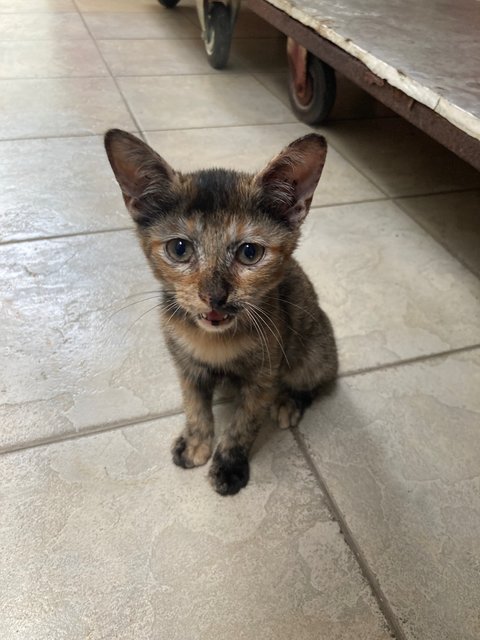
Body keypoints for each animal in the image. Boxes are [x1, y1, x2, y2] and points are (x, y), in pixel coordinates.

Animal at [105, 130, 338, 498]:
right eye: (179, 248)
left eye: (250, 253)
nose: (213, 296)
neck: (213, 340)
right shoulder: (184, 363)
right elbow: (195, 406)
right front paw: (197, 442)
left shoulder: (264, 375)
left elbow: (244, 423)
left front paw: (229, 463)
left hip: (313, 347)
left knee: (315, 378)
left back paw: (289, 402)